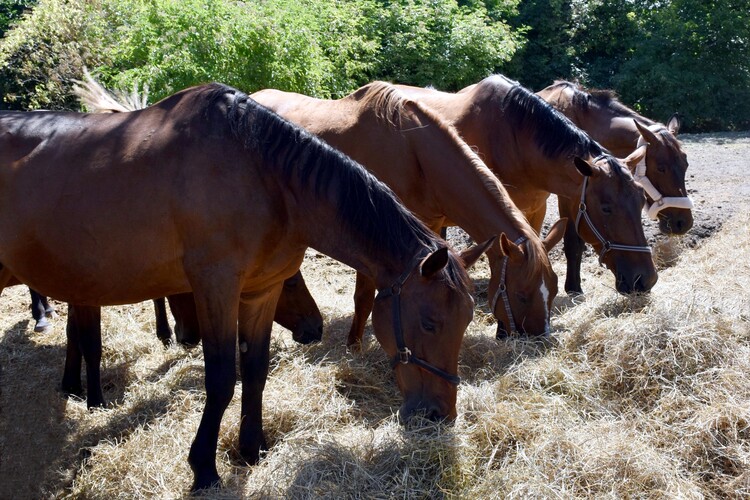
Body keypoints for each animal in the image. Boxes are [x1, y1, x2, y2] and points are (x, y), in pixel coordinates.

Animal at [0, 84, 488, 490]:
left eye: (465, 321)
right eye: (429, 322)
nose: (440, 415)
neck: (265, 177)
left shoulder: (260, 292)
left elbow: (255, 372)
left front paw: (252, 449)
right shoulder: (216, 287)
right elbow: (221, 380)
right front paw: (204, 468)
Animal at [250, 83, 568, 340]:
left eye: (553, 289)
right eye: (522, 295)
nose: (539, 338)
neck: (412, 151)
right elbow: (364, 297)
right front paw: (355, 347)